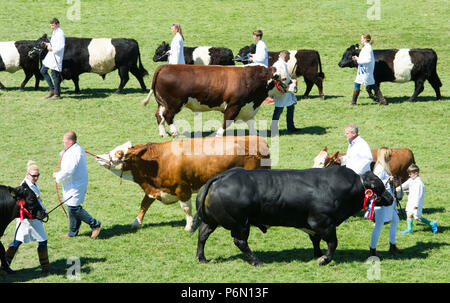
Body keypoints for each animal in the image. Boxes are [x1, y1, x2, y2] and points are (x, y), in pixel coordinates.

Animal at [191, 166, 394, 266]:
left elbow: (316, 240)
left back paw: (201, 258)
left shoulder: (313, 225)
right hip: (241, 224)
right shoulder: (323, 222)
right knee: (240, 242)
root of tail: (222, 177)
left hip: (212, 221)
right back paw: (257, 261)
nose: (391, 198)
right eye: (379, 187)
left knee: (202, 234)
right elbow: (332, 243)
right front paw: (324, 259)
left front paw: (317, 254)